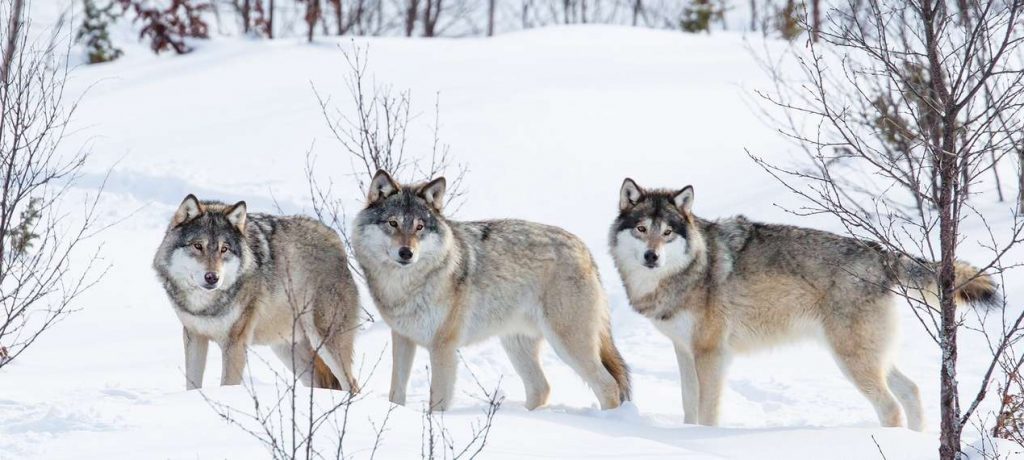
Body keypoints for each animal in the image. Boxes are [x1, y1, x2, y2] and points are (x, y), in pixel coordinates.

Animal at [151, 193, 360, 391]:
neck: (205, 305)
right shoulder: (194, 336)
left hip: (324, 341)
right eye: (197, 246)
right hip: (288, 349)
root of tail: (336, 240)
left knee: (352, 385)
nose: (212, 277)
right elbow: (192, 385)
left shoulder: (235, 343)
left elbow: (227, 385)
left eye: (224, 249)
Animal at [348, 170, 626, 409]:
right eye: (393, 223)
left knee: (609, 386)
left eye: (419, 227)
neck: (405, 286)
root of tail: (584, 248)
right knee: (542, 388)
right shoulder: (403, 338)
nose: (406, 253)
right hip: (516, 345)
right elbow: (396, 393)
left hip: (568, 344)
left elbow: (437, 403)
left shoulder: (443, 347)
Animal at [602, 177, 995, 428]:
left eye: (667, 233)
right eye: (642, 229)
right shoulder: (685, 351)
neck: (692, 269)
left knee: (891, 408)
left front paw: (703, 439)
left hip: (851, 360)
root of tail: (881, 254)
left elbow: (708, 411)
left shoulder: (712, 354)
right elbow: (688, 405)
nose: (652, 257)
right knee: (912, 391)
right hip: (871, 356)